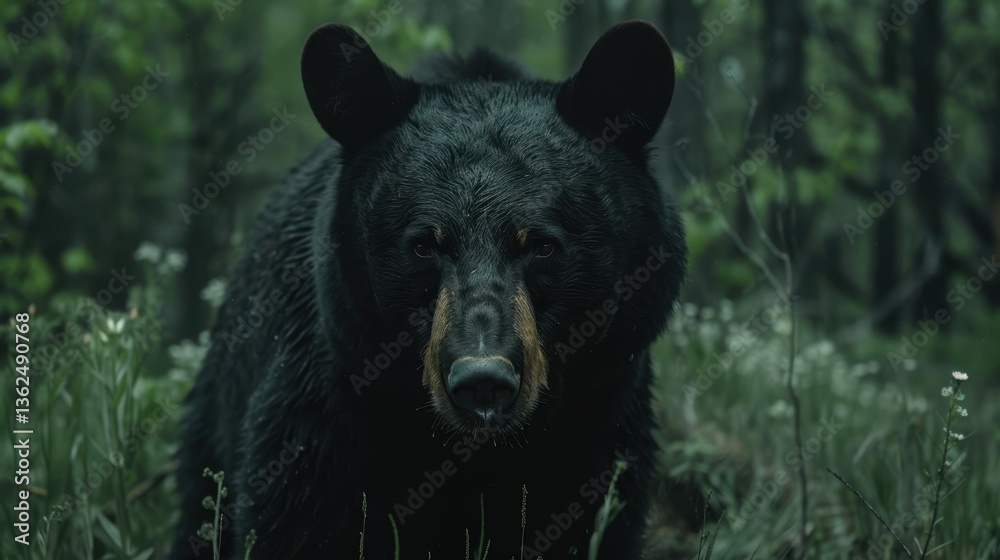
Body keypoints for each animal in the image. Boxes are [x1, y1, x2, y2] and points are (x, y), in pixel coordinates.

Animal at [170, 19, 685, 560]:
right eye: (423, 245)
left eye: (542, 245)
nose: (483, 378)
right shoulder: (321, 411)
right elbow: (294, 519)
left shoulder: (601, 422)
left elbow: (590, 522)